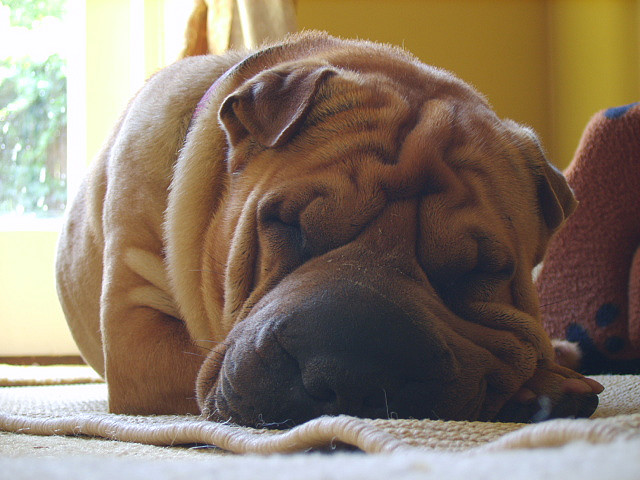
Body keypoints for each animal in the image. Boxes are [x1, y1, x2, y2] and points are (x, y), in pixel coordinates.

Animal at [55, 31, 600, 428]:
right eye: (288, 224)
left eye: (478, 271)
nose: (351, 374)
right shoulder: (139, 337)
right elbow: (197, 363)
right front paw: (540, 388)